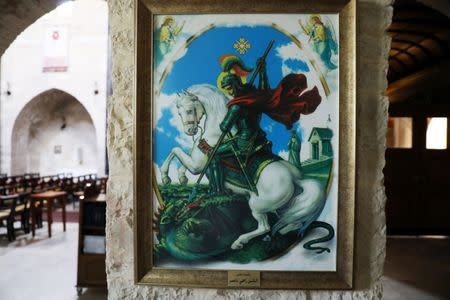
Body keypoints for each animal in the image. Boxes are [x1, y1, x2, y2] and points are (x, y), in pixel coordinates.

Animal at [160, 83, 326, 250]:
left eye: (189, 110)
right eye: (179, 112)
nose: (190, 131)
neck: (216, 134)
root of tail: (294, 178)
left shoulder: (197, 166)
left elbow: (175, 151)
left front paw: (165, 176)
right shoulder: (194, 163)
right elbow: (180, 160)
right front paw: (182, 178)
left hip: (257, 205)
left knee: (265, 226)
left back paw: (240, 241)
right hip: (285, 205)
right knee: (291, 221)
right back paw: (278, 232)